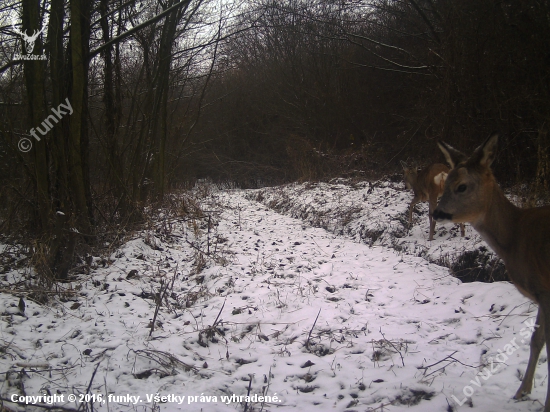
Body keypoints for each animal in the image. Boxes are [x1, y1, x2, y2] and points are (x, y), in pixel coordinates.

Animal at [436, 134, 550, 408]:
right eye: (445, 183)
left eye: (462, 186)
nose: (436, 212)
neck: (516, 238)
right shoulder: (542, 293)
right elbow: (536, 341)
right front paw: (522, 392)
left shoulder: (547, 291)